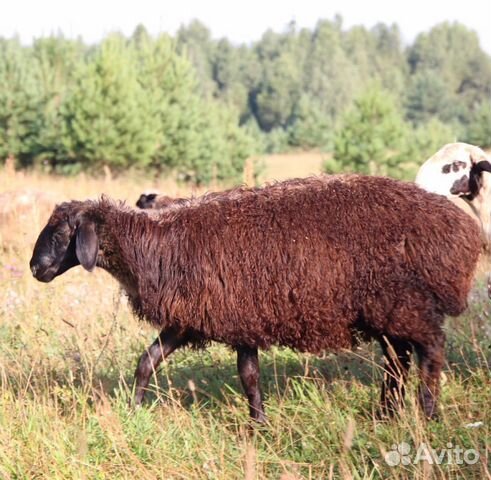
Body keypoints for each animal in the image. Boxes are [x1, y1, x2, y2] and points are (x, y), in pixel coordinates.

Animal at [29, 175, 480, 420]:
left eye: (61, 232)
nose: (35, 268)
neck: (155, 243)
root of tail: (460, 229)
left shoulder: (237, 316)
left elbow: (248, 377)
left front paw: (257, 424)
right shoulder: (191, 319)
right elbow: (148, 361)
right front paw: (135, 408)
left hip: (406, 302)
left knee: (430, 350)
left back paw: (428, 413)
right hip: (388, 310)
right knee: (397, 360)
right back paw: (386, 413)